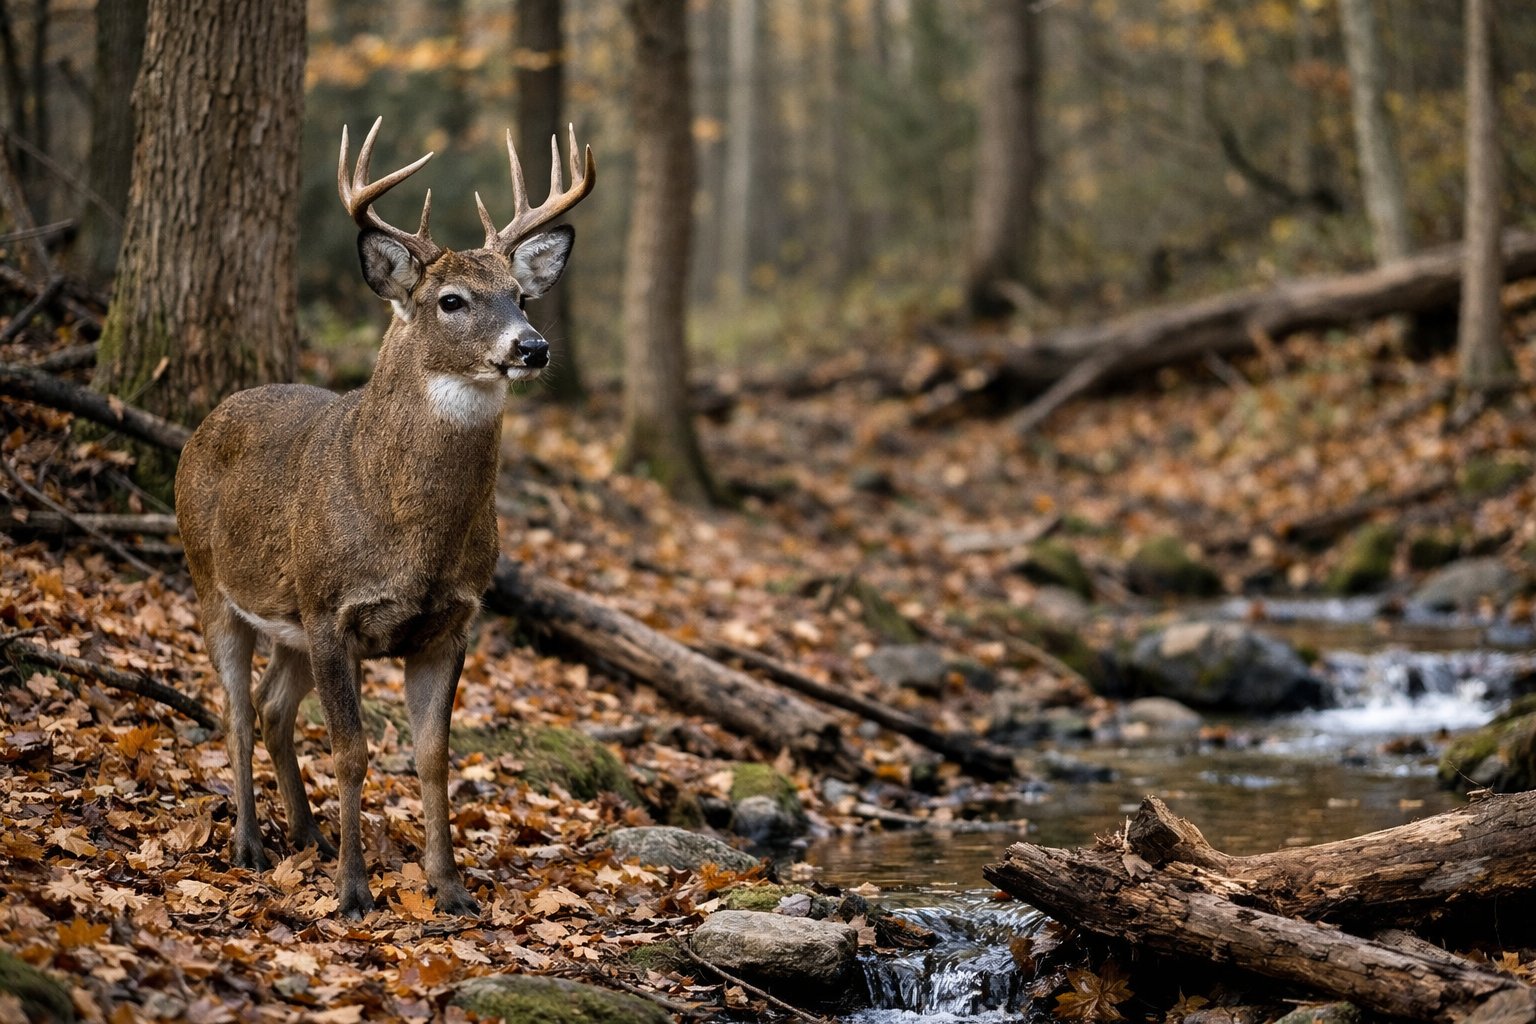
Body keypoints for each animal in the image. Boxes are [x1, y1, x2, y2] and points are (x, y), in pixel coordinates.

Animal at [175, 118, 594, 918]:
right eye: (453, 300)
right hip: (214, 584)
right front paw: (353, 890)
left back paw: (304, 833)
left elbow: (433, 755)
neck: (410, 536)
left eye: (521, 296)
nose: (532, 347)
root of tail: (204, 421)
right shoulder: (331, 608)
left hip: (290, 619)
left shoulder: (450, 621)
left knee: (273, 708)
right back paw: (249, 844)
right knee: (237, 711)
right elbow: (353, 751)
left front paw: (450, 887)